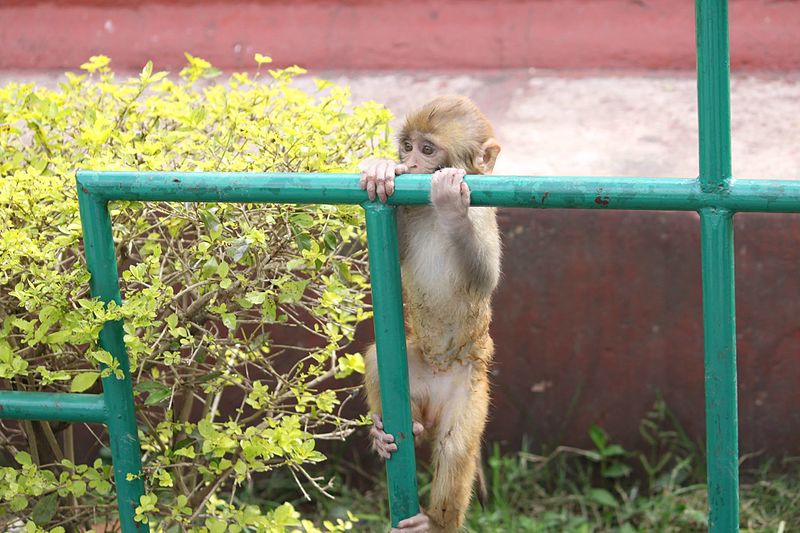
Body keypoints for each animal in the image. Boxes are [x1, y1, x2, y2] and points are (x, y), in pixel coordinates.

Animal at [360, 96, 500, 532]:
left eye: (428, 149)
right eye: (407, 147)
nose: (410, 163)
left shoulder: (483, 214)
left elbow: (484, 275)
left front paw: (451, 206)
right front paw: (381, 169)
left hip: (467, 389)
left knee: (455, 447)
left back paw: (436, 522)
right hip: (414, 378)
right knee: (379, 361)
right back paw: (389, 434)